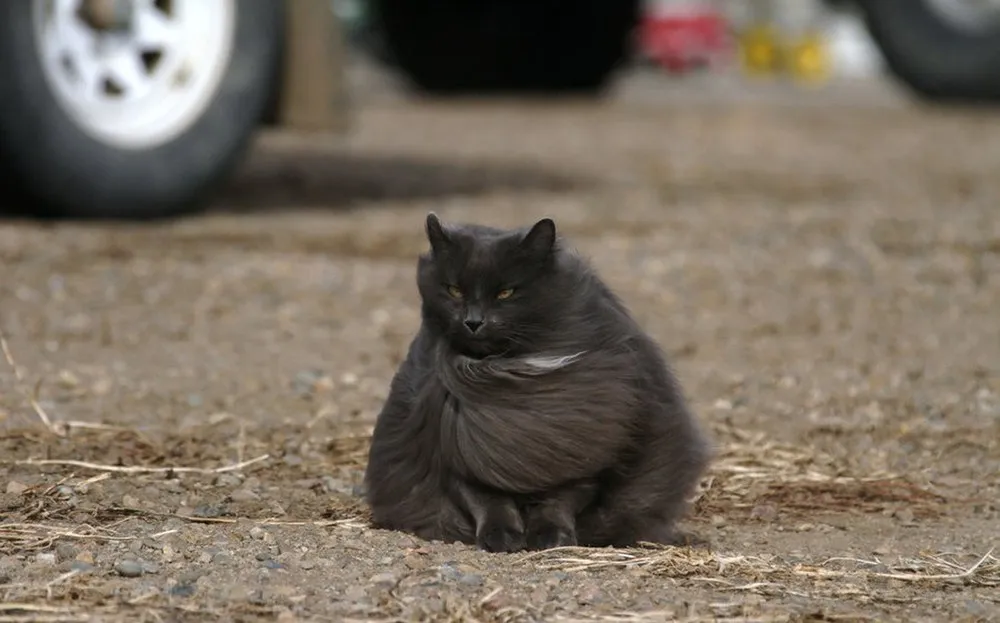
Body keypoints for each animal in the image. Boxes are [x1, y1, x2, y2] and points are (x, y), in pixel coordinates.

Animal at [362, 213, 712, 552]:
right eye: (454, 290)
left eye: (506, 292)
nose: (473, 321)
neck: (506, 372)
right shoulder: (457, 457)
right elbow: (487, 500)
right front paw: (502, 537)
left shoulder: (582, 458)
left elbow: (558, 502)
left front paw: (551, 537)